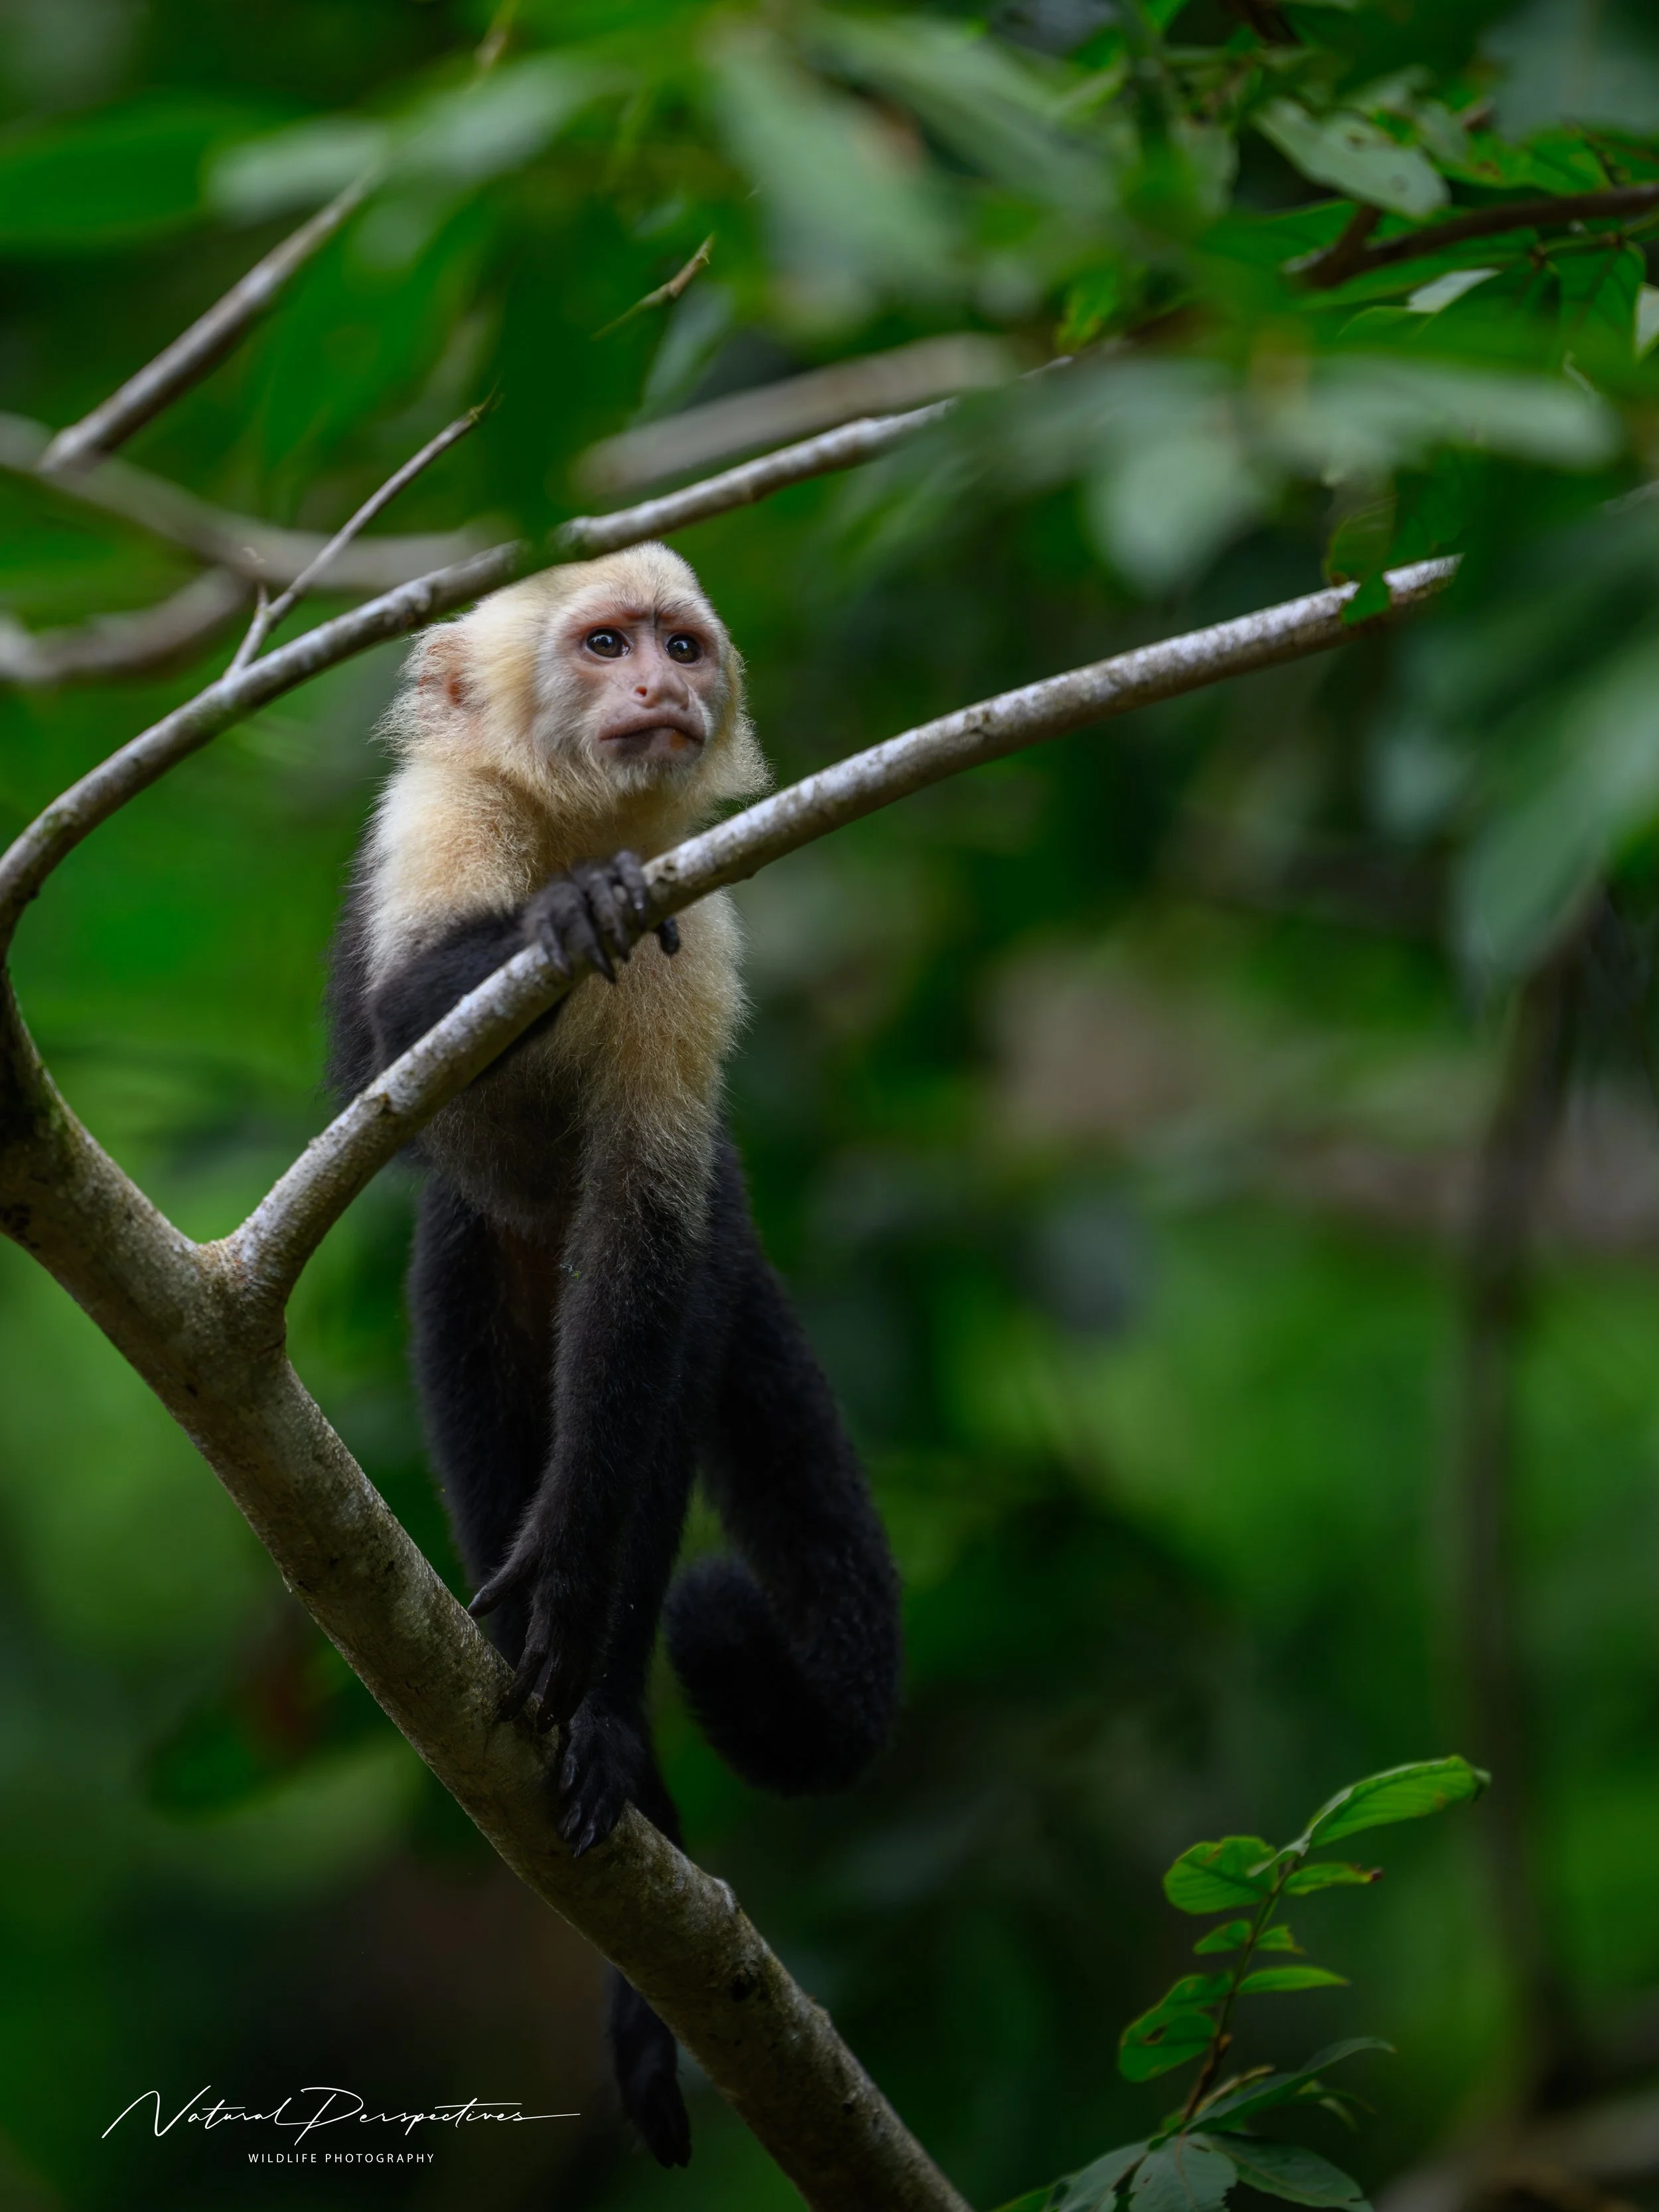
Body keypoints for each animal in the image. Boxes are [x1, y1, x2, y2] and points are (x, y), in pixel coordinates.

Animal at [325, 543, 903, 2168]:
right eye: (601, 644)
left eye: (680, 645)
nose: (659, 684)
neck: (579, 819)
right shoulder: (437, 820)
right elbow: (383, 1038)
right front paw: (556, 914)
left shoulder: (698, 921)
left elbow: (649, 1236)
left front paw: (577, 1578)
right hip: (486, 1267)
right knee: (461, 1259)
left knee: (675, 1311)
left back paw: (605, 1720)